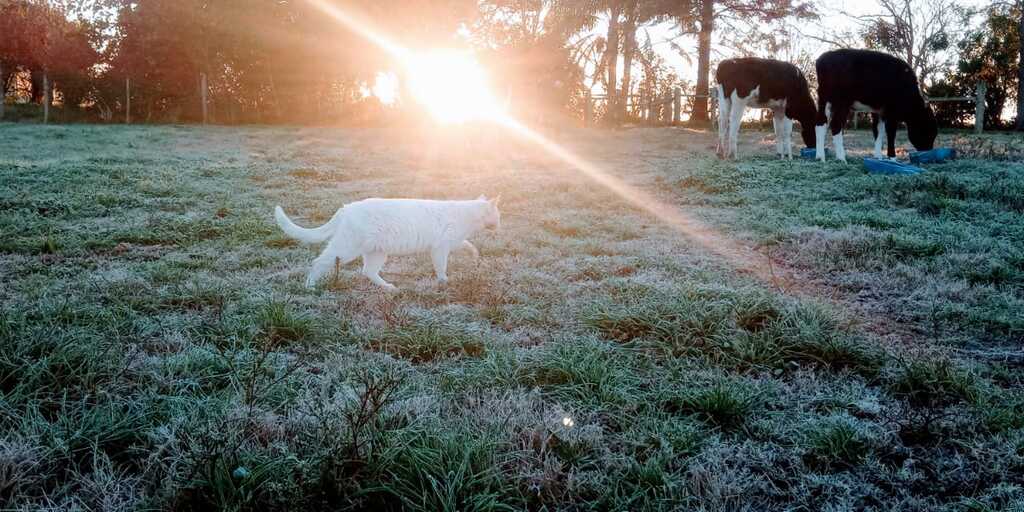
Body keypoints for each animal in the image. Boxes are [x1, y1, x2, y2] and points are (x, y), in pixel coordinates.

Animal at [270, 195, 497, 290]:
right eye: (498, 215)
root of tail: (347, 207)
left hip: (377, 252)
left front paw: (475, 257)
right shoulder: (440, 248)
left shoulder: (453, 243)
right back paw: (309, 286)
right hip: (347, 248)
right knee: (319, 263)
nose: (499, 225)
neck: (466, 215)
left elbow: (469, 246)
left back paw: (389, 287)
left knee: (368, 272)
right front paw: (444, 282)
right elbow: (441, 267)